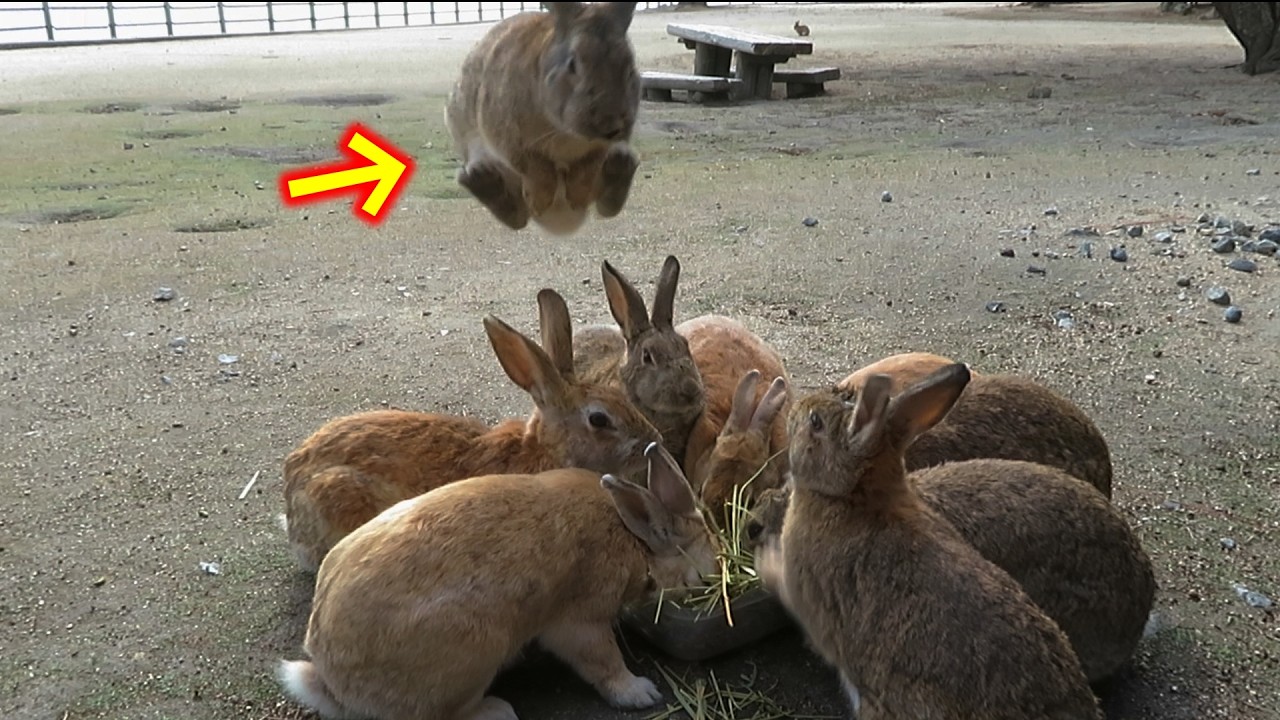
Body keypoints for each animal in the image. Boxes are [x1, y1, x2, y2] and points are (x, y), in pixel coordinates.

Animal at [444, 2, 642, 235]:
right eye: (572, 64)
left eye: (631, 67)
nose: (611, 124)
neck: (566, 132)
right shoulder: (509, 140)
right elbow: (536, 167)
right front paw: (541, 201)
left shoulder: (598, 148)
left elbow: (586, 168)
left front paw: (576, 196)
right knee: (518, 214)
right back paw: (483, 179)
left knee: (606, 204)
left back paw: (620, 165)